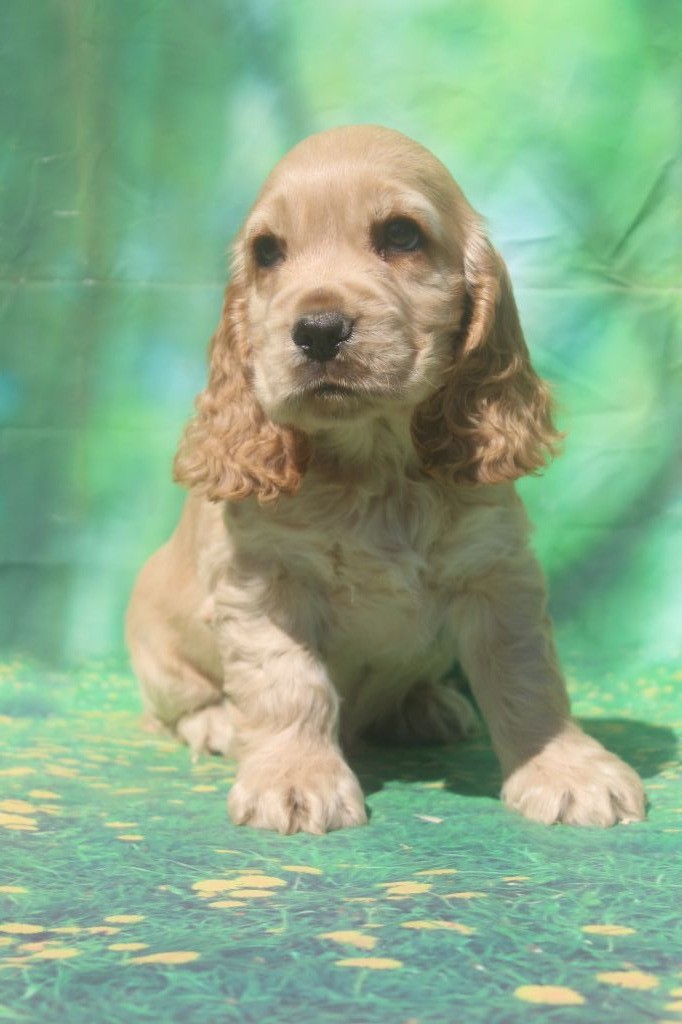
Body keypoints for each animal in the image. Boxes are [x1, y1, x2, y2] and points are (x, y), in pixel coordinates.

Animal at [126, 125, 646, 833]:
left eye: (401, 235)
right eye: (267, 252)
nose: (318, 331)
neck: (375, 462)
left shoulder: (498, 572)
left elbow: (527, 676)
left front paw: (566, 768)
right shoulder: (263, 583)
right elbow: (289, 684)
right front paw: (295, 780)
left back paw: (426, 705)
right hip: (158, 647)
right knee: (172, 711)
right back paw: (217, 725)